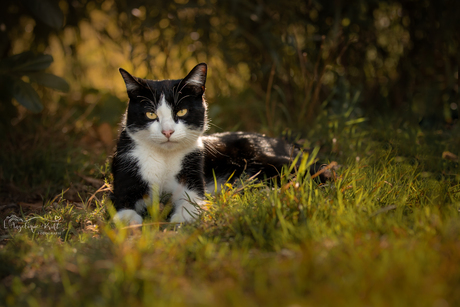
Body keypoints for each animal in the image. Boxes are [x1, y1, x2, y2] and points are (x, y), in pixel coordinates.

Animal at [109, 63, 328, 226]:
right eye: (150, 114)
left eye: (181, 112)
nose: (167, 132)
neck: (164, 157)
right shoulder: (125, 168)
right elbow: (122, 201)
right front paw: (129, 219)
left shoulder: (193, 167)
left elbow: (192, 198)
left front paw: (184, 216)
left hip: (267, 156)